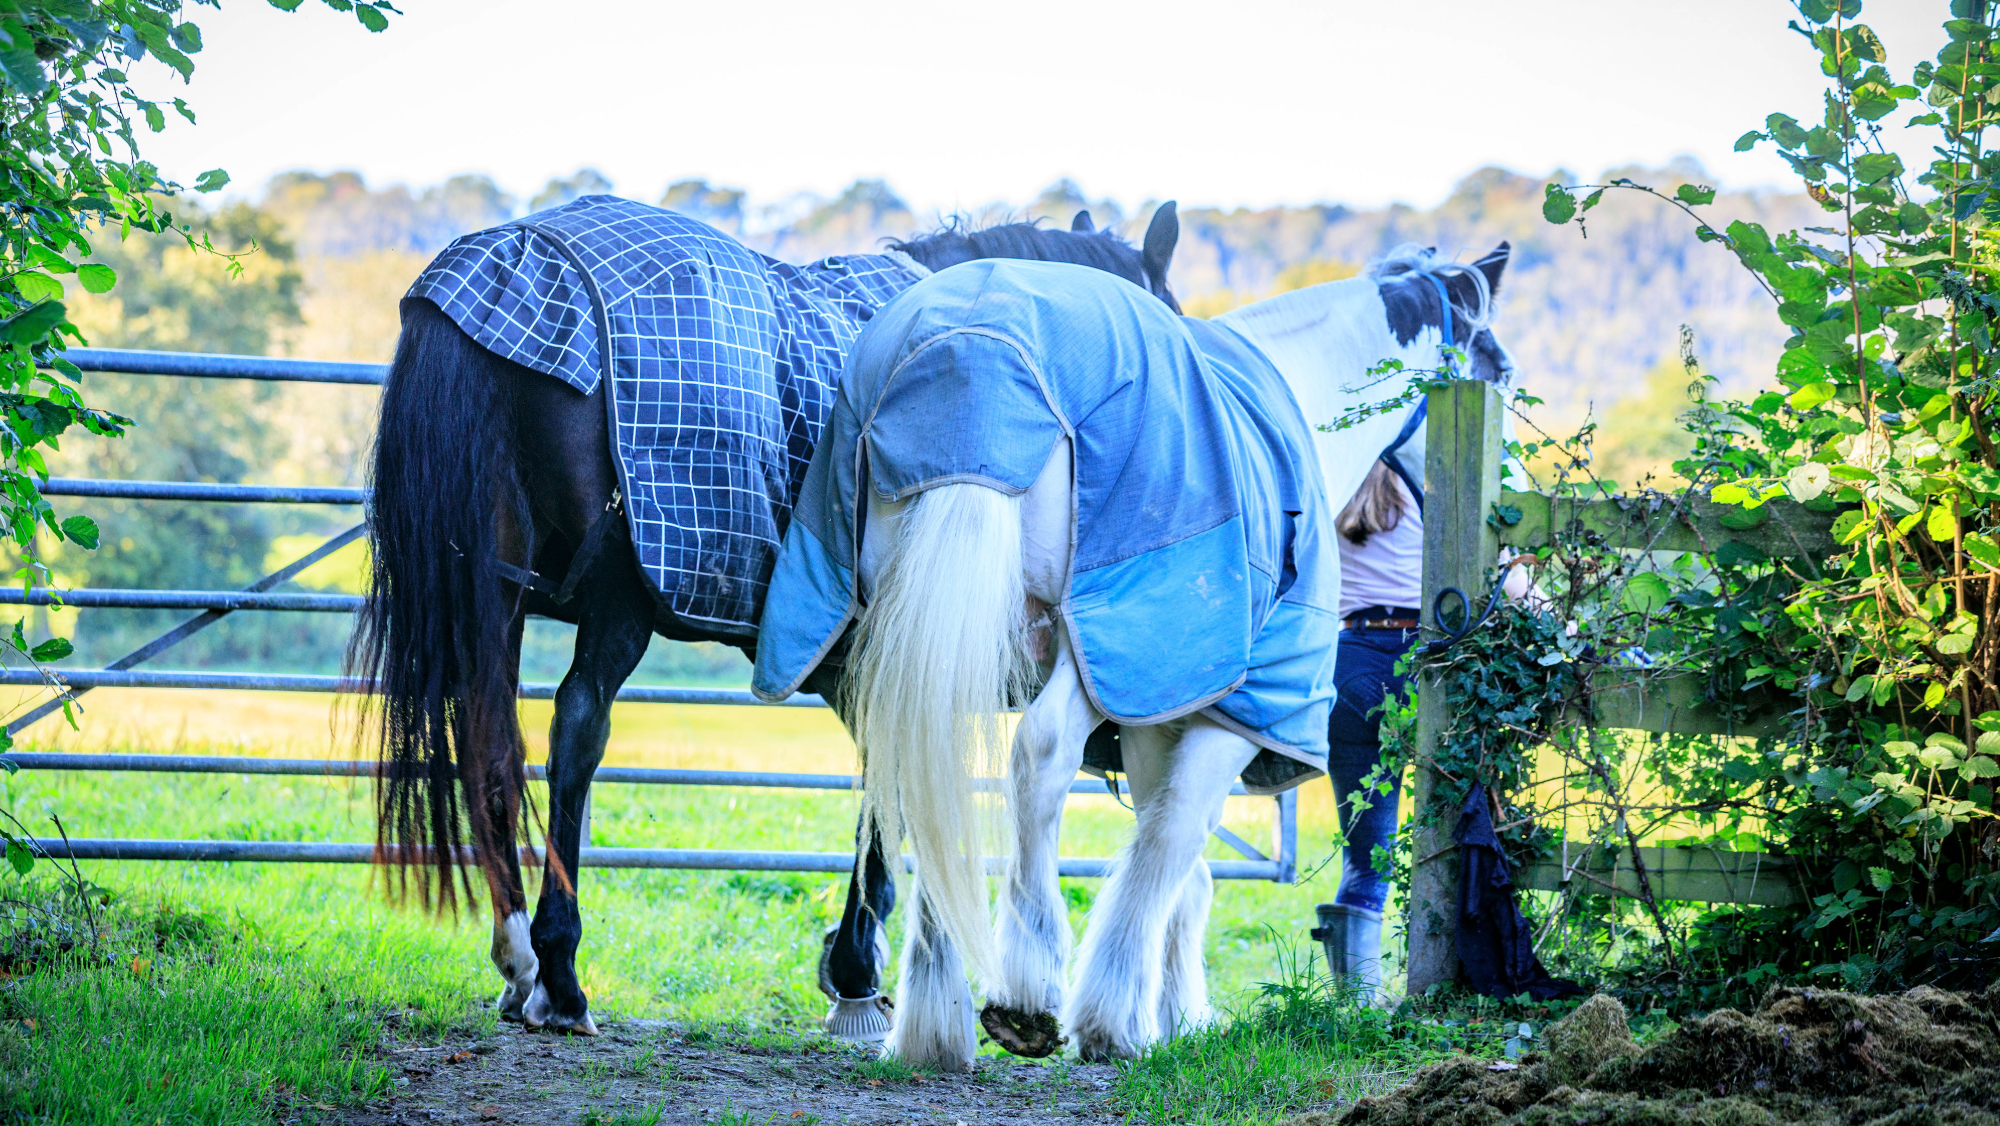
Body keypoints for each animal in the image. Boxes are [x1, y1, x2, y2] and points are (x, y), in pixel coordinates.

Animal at [349, 193, 1184, 1037]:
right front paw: (855, 969)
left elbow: (881, 782)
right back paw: (559, 973)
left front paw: (853, 966)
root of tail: (510, 258)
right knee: (576, 730)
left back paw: (518, 959)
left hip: (496, 584)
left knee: (487, 734)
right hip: (619, 593)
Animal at [752, 243, 1514, 1068]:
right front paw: (1123, 1017)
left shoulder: (1157, 708)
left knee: (931, 772)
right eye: (1498, 366)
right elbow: (1173, 844)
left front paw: (1171, 1015)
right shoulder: (1226, 707)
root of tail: (972, 352)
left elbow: (1176, 859)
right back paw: (1027, 988)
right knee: (1040, 757)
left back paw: (932, 1024)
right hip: (1085, 639)